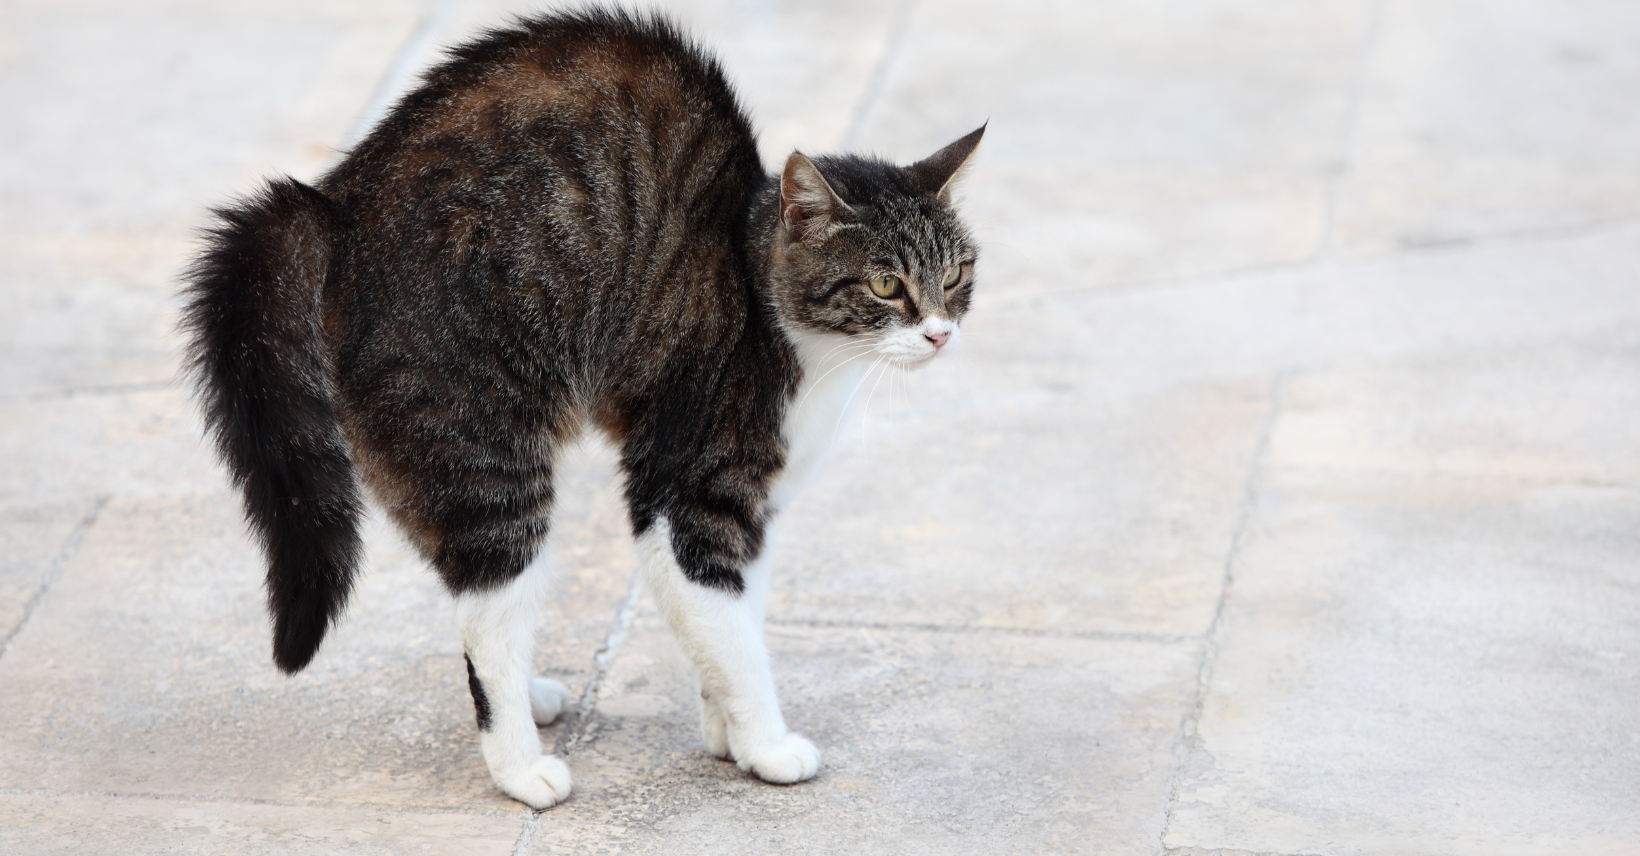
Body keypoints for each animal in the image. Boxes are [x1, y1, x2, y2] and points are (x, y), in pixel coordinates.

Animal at [186, 8, 977, 806]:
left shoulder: (759, 510)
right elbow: (731, 633)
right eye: (885, 285)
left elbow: (737, 619)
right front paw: (766, 744)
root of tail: (337, 203)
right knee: (490, 616)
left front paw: (725, 731)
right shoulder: (684, 491)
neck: (793, 333)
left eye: (955, 273)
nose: (941, 333)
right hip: (486, 457)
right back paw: (520, 765)